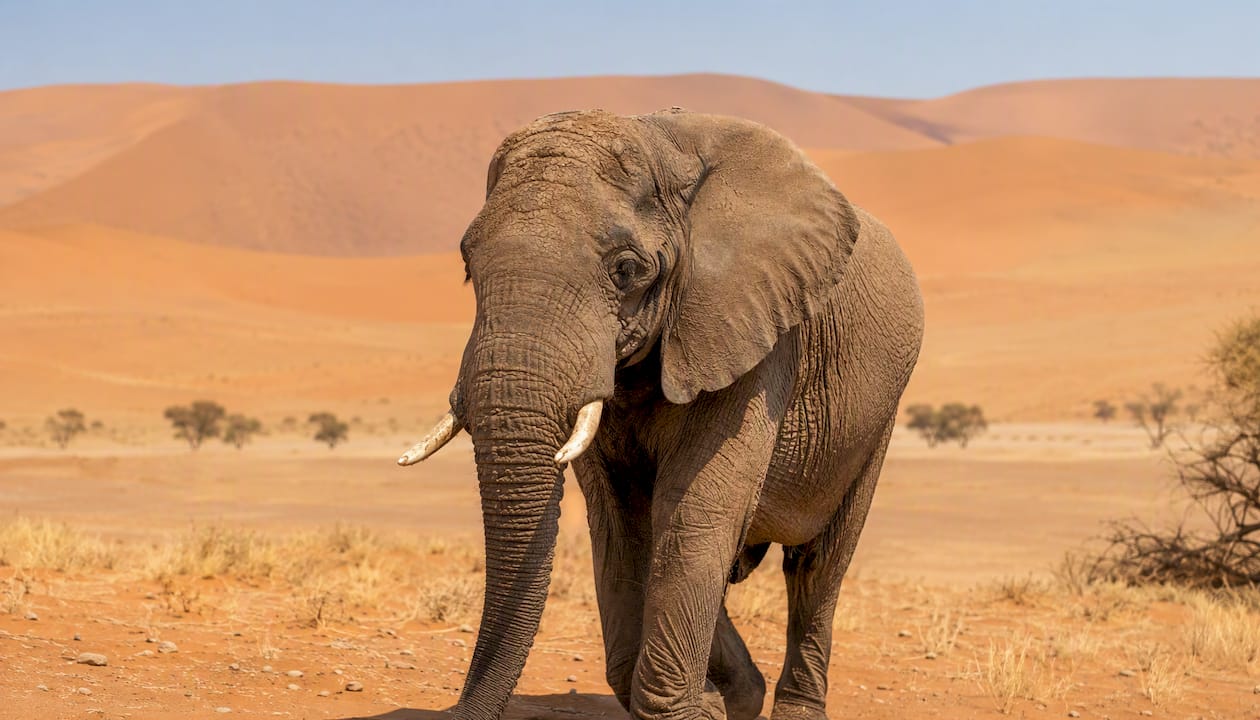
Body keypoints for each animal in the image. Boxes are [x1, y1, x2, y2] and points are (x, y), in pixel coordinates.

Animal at [398, 108, 924, 720]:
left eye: (626, 269)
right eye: (467, 265)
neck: (660, 141)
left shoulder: (753, 330)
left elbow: (694, 508)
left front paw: (695, 708)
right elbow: (623, 519)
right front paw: (711, 705)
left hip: (877, 417)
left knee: (817, 567)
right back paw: (739, 693)